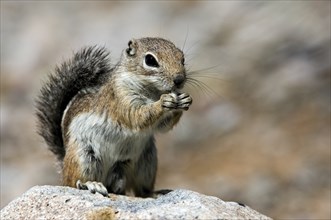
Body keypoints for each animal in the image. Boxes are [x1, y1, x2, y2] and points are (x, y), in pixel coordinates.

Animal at [35, 37, 192, 197]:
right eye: (150, 60)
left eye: (182, 58)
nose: (179, 79)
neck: (152, 91)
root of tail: (63, 165)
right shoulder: (121, 97)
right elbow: (137, 116)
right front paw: (163, 102)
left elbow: (163, 127)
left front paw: (184, 100)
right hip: (84, 157)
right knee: (73, 182)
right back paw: (91, 184)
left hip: (146, 163)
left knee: (138, 189)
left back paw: (151, 193)